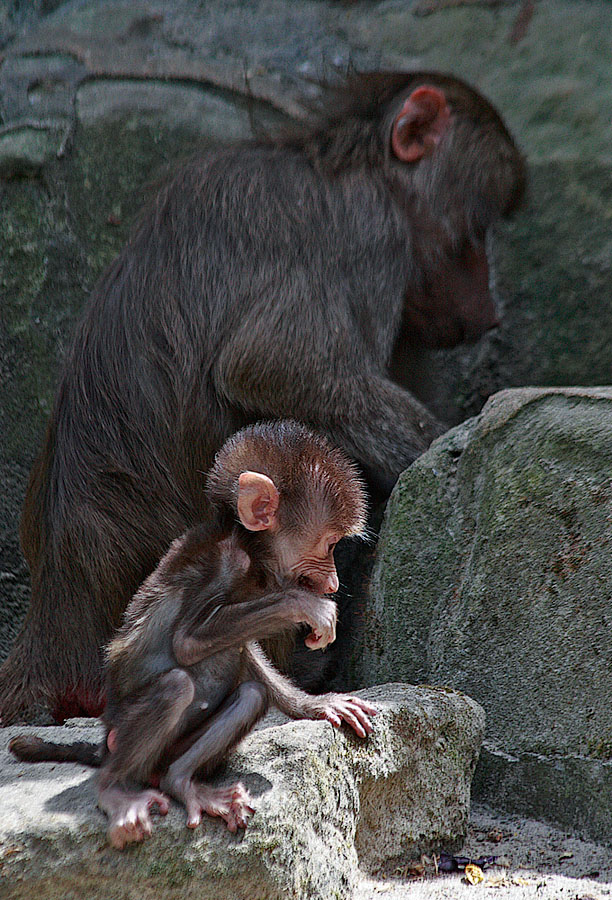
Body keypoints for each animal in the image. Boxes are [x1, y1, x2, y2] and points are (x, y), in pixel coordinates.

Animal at [1, 70, 524, 724]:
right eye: (475, 230)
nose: (491, 310)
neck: (339, 158)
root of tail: (57, 619)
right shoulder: (369, 234)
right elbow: (274, 368)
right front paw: (441, 450)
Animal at [10, 418, 378, 848]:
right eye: (330, 544)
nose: (334, 582)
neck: (246, 548)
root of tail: (106, 742)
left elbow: (246, 653)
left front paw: (315, 704)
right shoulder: (225, 565)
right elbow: (187, 642)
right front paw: (310, 607)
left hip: (172, 751)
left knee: (251, 694)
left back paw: (181, 782)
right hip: (121, 732)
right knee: (176, 686)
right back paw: (115, 790)